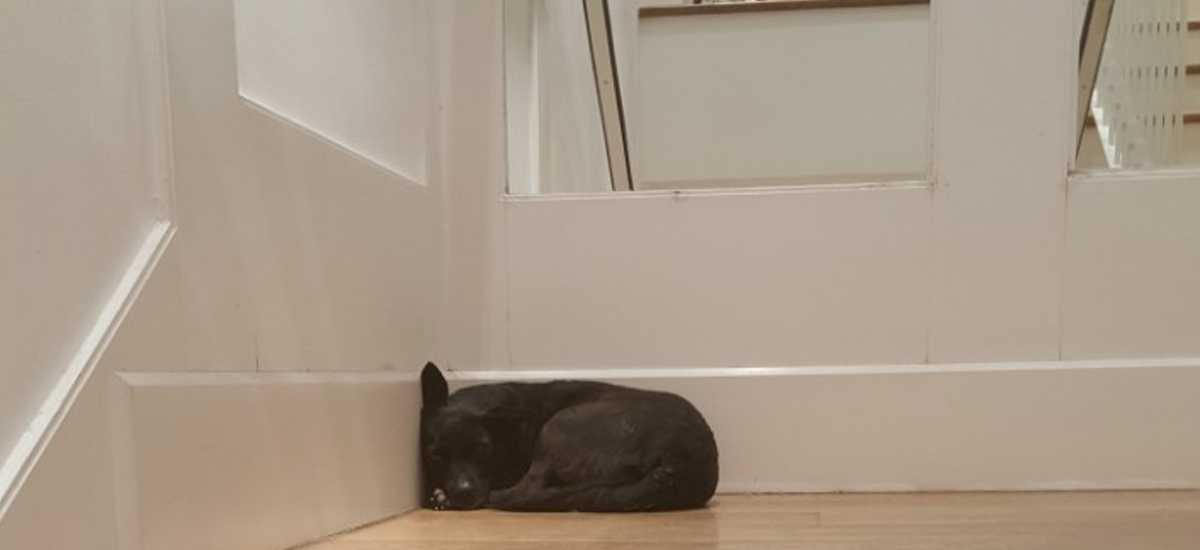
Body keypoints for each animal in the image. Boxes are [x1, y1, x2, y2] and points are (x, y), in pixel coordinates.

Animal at [420, 362, 719, 512]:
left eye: (481, 449)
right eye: (435, 456)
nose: (463, 493)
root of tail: (680, 463)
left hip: (558, 427)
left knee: (524, 490)